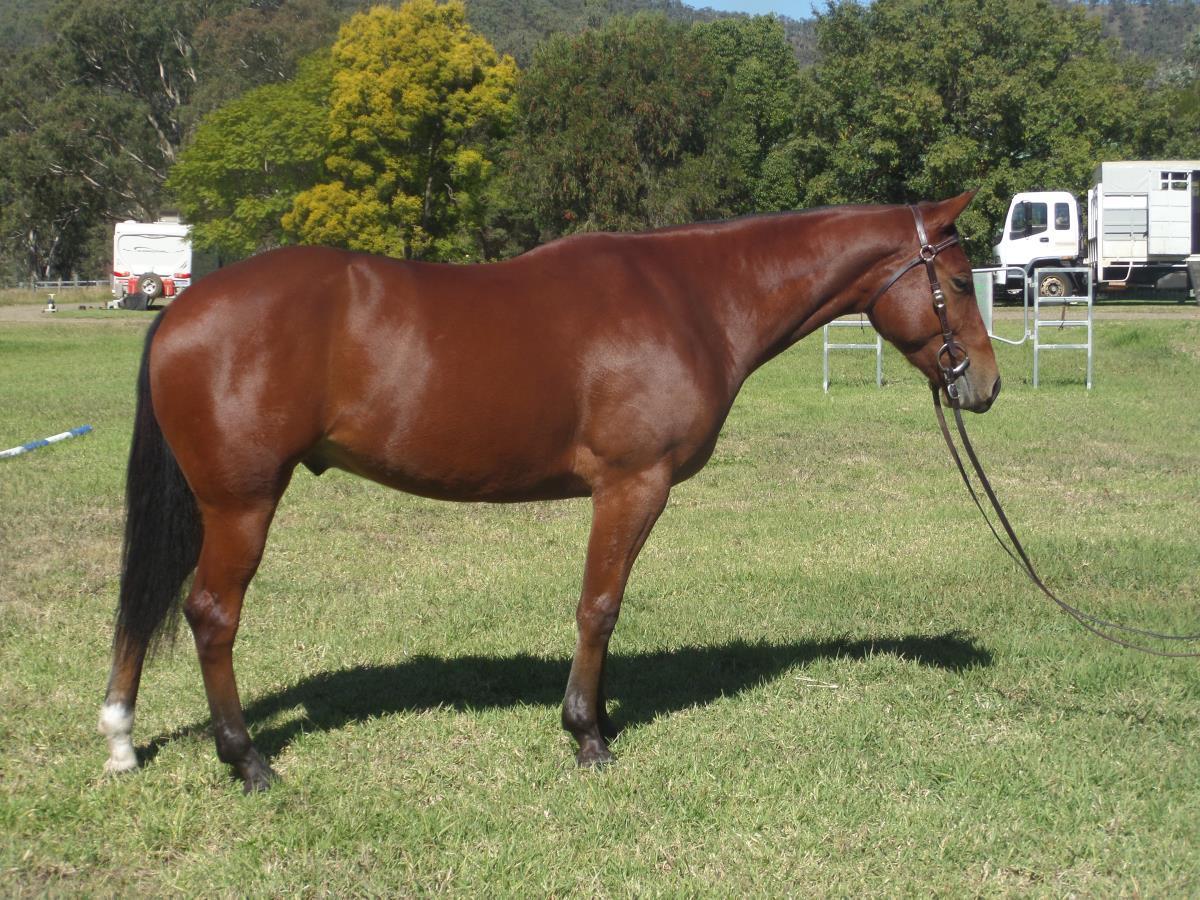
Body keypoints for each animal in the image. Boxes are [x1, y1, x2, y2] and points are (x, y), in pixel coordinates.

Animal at [99, 192, 1000, 793]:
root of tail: (182, 312)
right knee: (211, 615)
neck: (693, 298)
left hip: (206, 505)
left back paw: (120, 736)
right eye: (959, 279)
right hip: (241, 505)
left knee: (144, 606)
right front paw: (587, 736)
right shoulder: (633, 486)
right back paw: (246, 758)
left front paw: (596, 720)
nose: (984, 384)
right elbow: (599, 606)